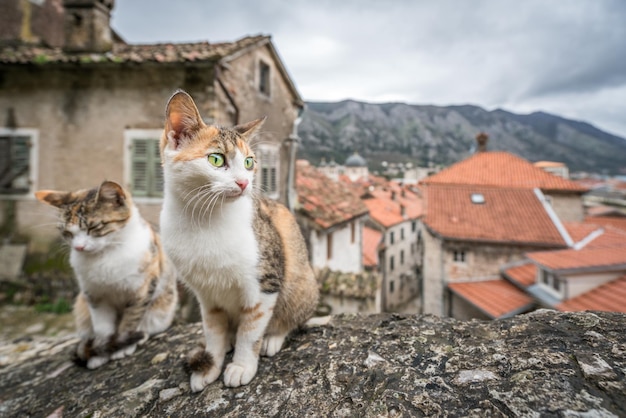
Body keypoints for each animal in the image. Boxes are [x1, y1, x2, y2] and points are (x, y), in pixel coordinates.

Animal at [34, 180, 178, 370]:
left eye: (93, 227)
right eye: (67, 233)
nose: (78, 247)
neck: (105, 255)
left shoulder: (142, 289)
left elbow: (130, 320)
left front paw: (122, 347)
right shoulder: (94, 295)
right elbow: (102, 326)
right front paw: (102, 352)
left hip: (161, 309)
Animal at [158, 90, 320, 390]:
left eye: (249, 162)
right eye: (216, 159)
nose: (245, 183)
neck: (205, 221)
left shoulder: (264, 282)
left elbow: (251, 329)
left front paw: (242, 365)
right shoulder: (206, 295)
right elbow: (213, 331)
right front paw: (211, 364)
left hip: (301, 284)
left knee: (292, 318)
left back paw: (273, 338)